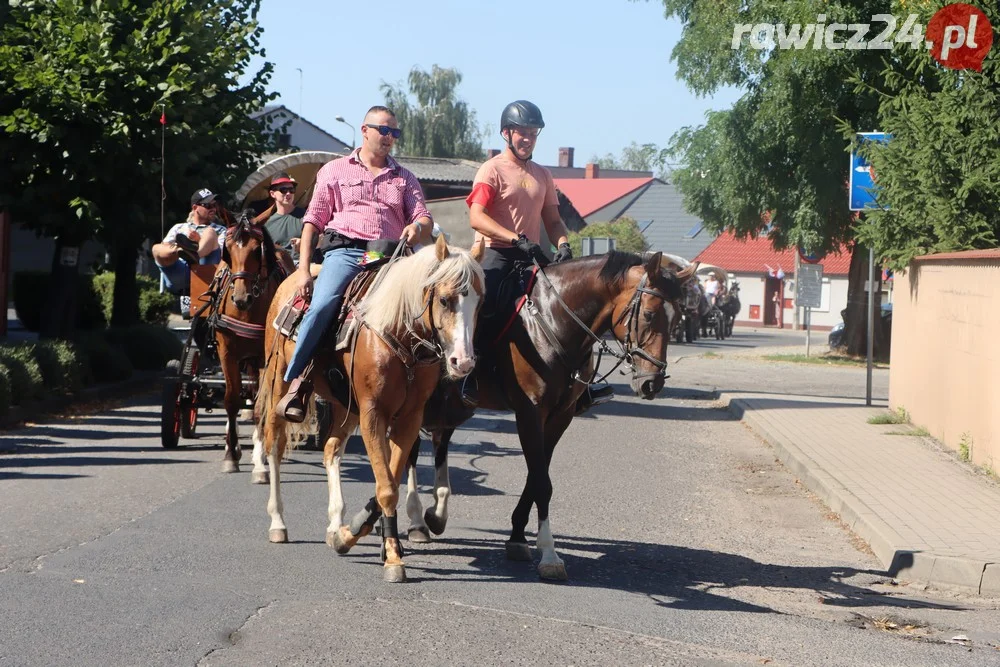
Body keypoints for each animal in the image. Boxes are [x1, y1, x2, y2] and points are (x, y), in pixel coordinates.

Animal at [209, 209, 292, 474]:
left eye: (257, 250)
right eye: (227, 249)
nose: (240, 298)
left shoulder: (265, 357)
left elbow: (259, 406)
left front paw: (260, 463)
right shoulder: (227, 353)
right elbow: (231, 400)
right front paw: (230, 455)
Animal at [256, 237, 486, 580]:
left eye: (479, 302)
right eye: (445, 300)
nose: (464, 362)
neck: (399, 335)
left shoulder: (408, 418)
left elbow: (388, 478)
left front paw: (353, 534)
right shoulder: (373, 414)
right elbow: (387, 486)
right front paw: (390, 556)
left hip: (344, 406)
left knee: (331, 449)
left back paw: (335, 524)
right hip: (278, 384)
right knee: (274, 444)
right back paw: (277, 522)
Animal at [394, 250, 700, 580]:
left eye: (677, 317)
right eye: (649, 315)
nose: (652, 383)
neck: (552, 321)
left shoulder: (559, 417)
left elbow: (537, 476)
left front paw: (517, 537)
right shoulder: (530, 413)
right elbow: (541, 481)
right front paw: (550, 555)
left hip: (451, 403)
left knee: (439, 442)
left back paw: (435, 515)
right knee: (412, 450)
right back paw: (417, 520)